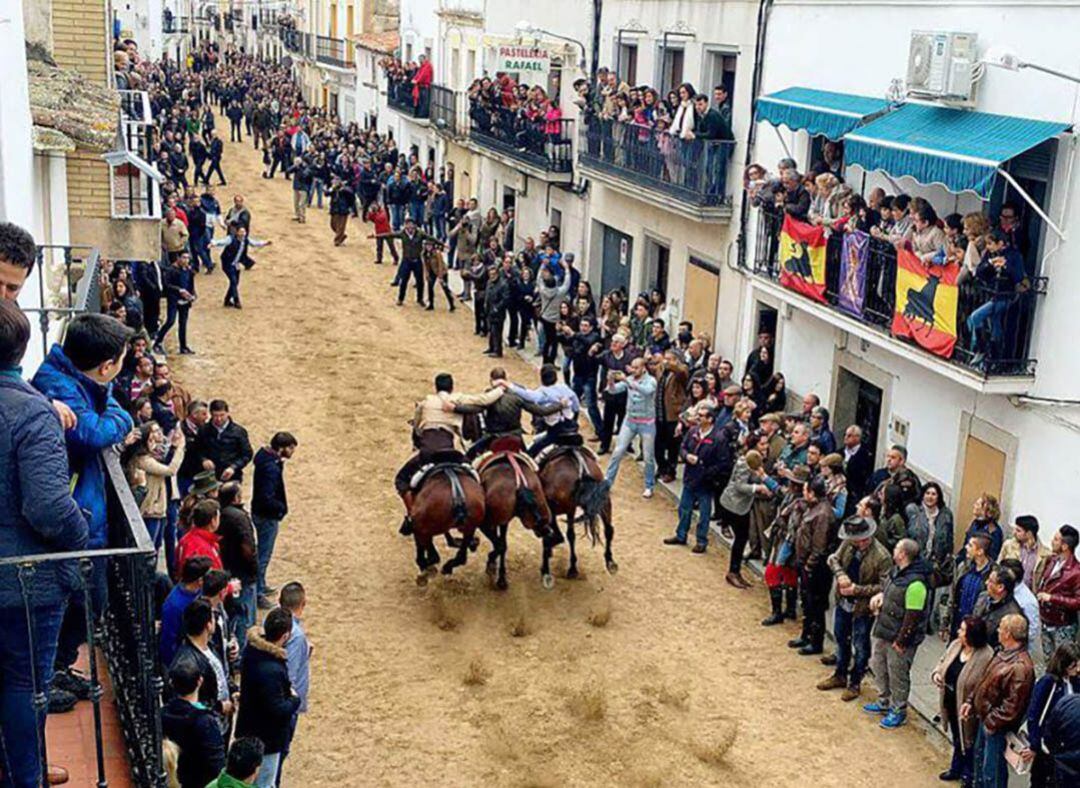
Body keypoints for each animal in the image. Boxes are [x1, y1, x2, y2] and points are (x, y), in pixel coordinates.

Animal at [475, 438, 552, 587]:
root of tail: (520, 484)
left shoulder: (493, 522)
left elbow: (499, 543)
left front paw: (492, 565)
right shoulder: (503, 520)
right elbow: (502, 542)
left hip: (486, 522)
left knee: (499, 544)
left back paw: (495, 571)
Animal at [537, 444, 617, 587]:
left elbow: (554, 537)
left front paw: (546, 568)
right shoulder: (570, 510)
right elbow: (569, 536)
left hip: (558, 510)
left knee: (559, 536)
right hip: (604, 501)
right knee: (608, 530)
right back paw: (609, 562)